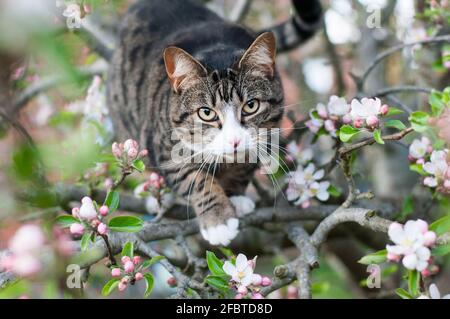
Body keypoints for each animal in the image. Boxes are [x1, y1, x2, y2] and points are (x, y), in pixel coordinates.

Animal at [107, 0, 322, 248]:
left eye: (251, 106)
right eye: (207, 113)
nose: (234, 140)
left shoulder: (267, 134)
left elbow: (243, 168)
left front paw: (235, 197)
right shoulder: (166, 147)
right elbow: (195, 180)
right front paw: (218, 219)